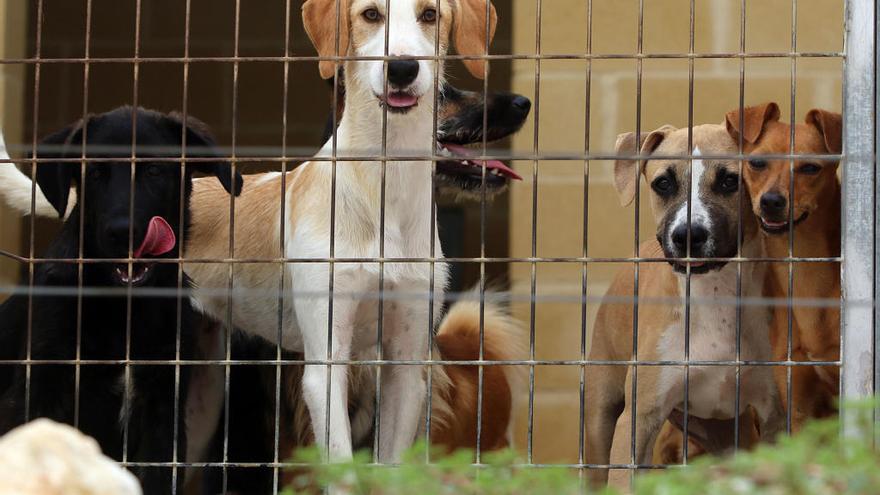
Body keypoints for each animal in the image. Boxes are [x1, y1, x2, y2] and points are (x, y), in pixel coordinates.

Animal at [0, 106, 241, 494]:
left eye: (155, 171)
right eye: (97, 173)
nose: (123, 232)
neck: (123, 305)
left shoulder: (163, 412)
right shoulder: (37, 391)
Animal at [584, 123, 784, 488]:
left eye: (730, 181)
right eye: (663, 183)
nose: (687, 235)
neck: (713, 294)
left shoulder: (772, 414)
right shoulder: (638, 419)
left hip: (729, 434)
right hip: (600, 416)